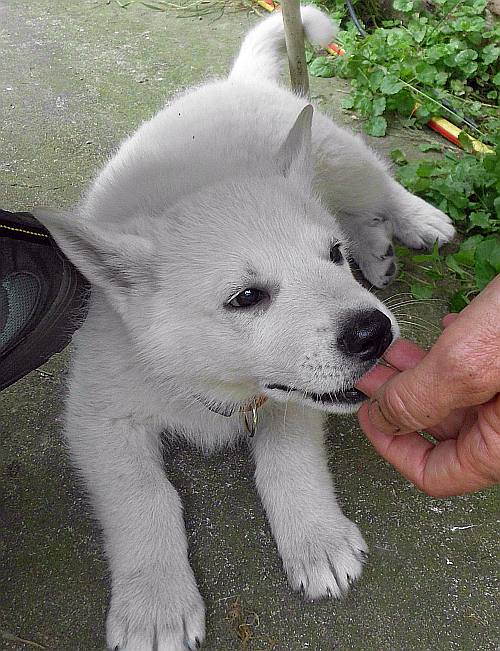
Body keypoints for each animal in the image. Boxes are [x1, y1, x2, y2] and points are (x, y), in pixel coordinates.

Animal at [37, 6, 456, 651]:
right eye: (247, 298)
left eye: (331, 257)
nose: (374, 334)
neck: (214, 387)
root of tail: (238, 81)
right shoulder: (99, 418)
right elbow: (144, 496)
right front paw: (155, 604)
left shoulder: (292, 398)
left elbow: (285, 458)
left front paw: (316, 540)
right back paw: (378, 248)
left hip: (339, 157)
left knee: (379, 182)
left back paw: (415, 221)